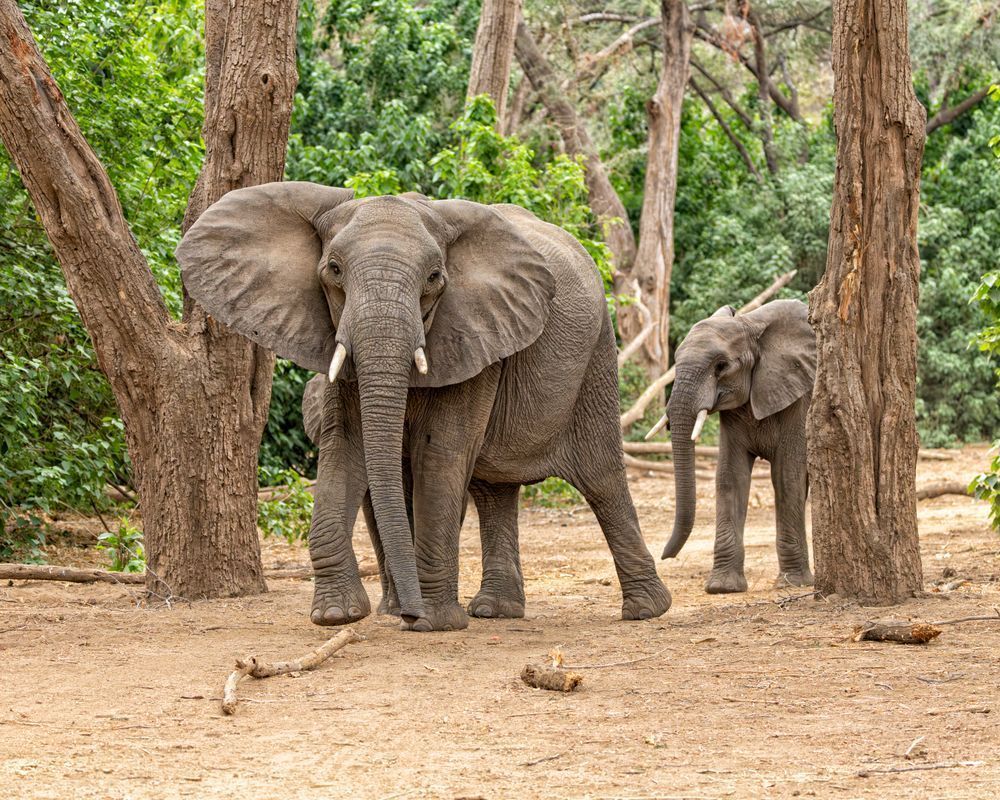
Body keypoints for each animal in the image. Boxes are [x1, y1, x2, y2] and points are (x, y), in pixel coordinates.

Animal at [177, 182, 671, 631]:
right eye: (333, 270)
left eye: (434, 278)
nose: (408, 613)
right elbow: (345, 448)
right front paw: (337, 616)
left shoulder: (474, 330)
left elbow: (441, 452)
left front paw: (431, 621)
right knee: (493, 488)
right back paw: (495, 611)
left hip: (597, 352)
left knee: (600, 475)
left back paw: (646, 611)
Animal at [646, 299, 816, 594]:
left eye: (721, 366)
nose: (665, 556)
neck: (751, 325)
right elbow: (730, 476)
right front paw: (722, 587)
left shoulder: (799, 396)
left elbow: (788, 475)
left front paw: (792, 583)